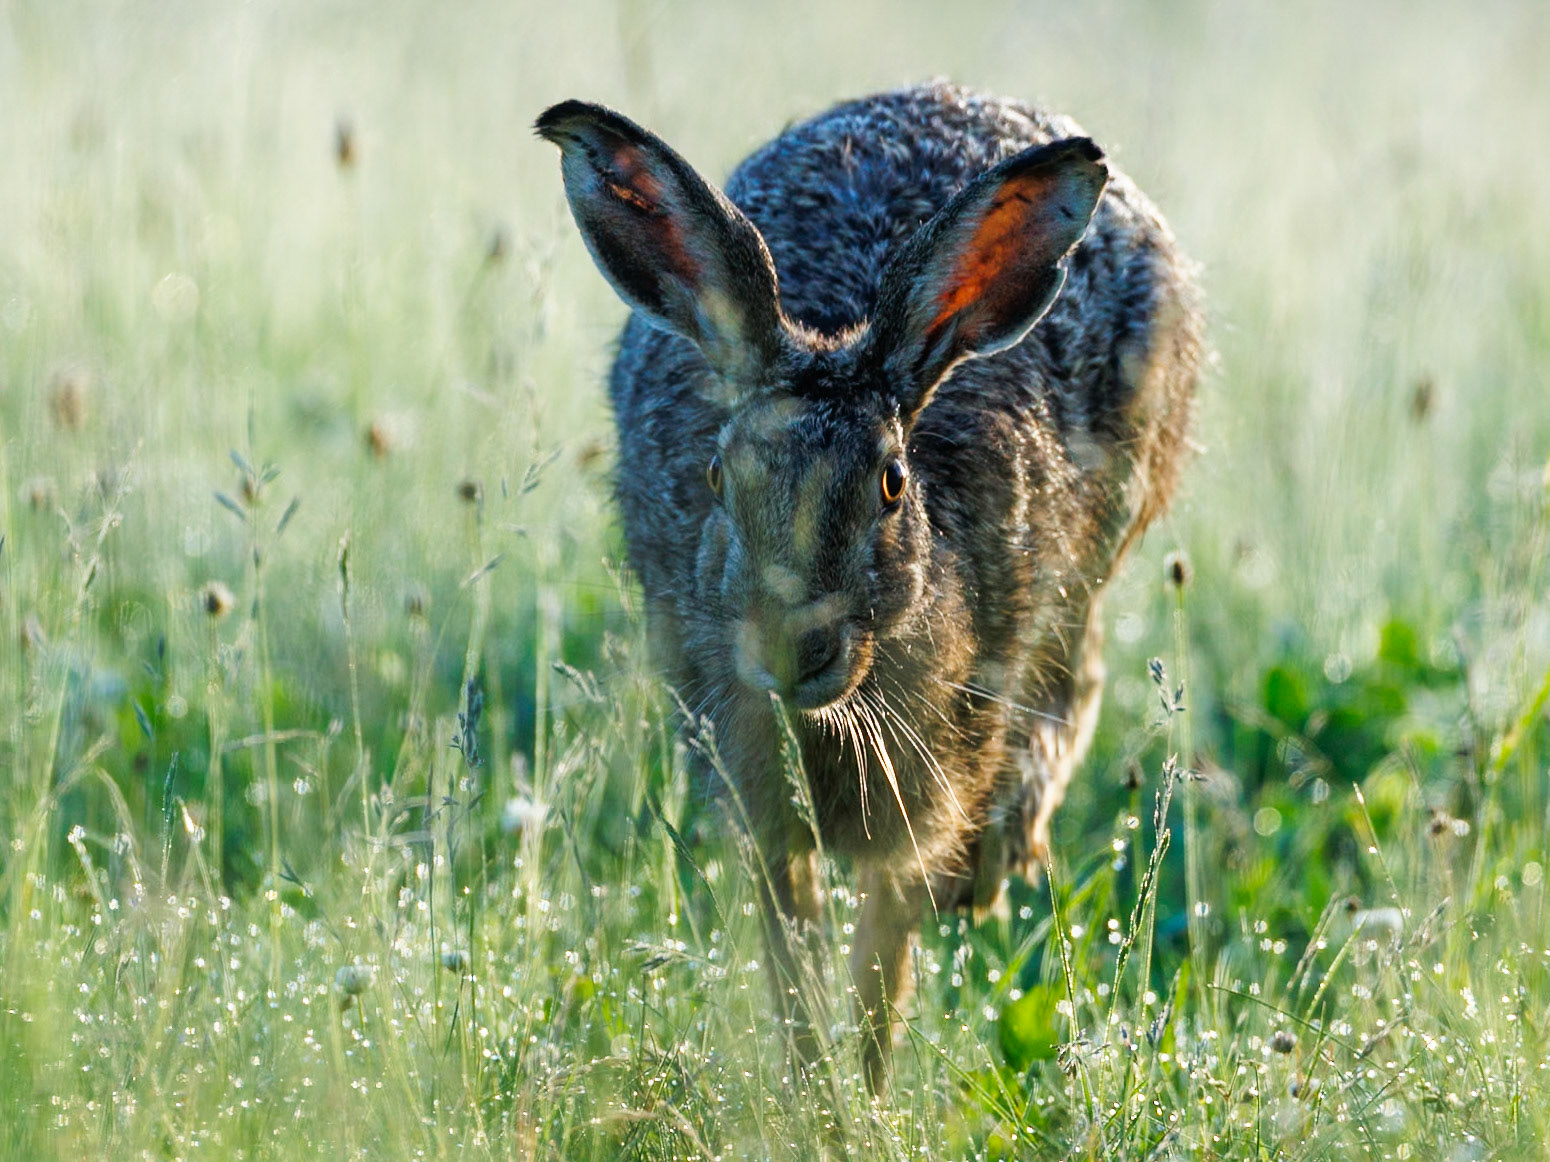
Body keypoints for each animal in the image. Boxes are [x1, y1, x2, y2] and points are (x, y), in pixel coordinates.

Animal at [538, 81, 1202, 1093]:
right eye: (718, 479)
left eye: (892, 484)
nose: (790, 646)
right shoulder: (760, 806)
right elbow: (798, 970)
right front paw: (817, 1100)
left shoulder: (929, 800)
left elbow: (879, 980)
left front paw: (867, 1100)